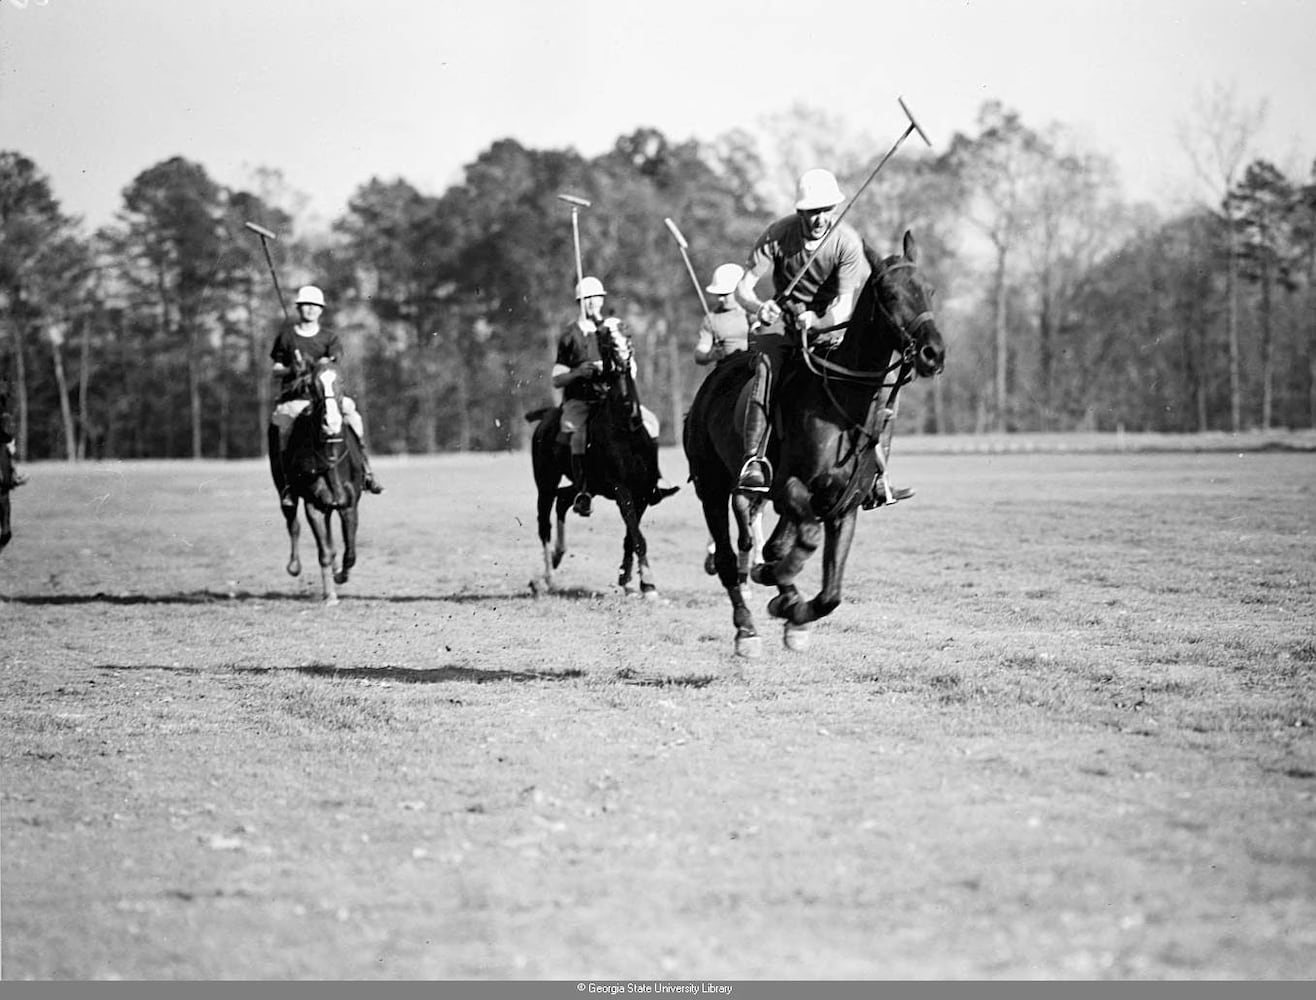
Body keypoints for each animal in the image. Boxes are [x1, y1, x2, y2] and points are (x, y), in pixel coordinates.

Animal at [272, 363, 363, 605]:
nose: (331, 423)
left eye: (341, 381)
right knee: (292, 523)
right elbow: (324, 552)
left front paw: (340, 574)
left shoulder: (349, 505)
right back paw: (294, 565)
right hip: (284, 488)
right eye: (312, 385)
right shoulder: (314, 506)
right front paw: (330, 594)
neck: (330, 458)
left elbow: (350, 553)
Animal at [526, 323, 663, 597]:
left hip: (587, 485)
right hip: (545, 481)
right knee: (544, 522)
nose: (622, 359)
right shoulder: (622, 489)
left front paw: (629, 580)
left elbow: (631, 536)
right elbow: (638, 537)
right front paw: (649, 585)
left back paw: (558, 554)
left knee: (563, 500)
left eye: (628, 334)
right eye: (605, 339)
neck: (625, 427)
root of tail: (546, 416)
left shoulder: (643, 492)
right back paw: (546, 578)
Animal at [689, 230, 947, 660]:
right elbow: (802, 541)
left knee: (770, 544)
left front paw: (792, 608)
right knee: (728, 557)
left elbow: (831, 593)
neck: (843, 401)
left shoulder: (845, 506)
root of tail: (715, 376)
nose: (933, 353)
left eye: (928, 290)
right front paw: (780, 589)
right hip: (712, 484)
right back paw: (747, 628)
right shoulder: (789, 487)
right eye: (890, 294)